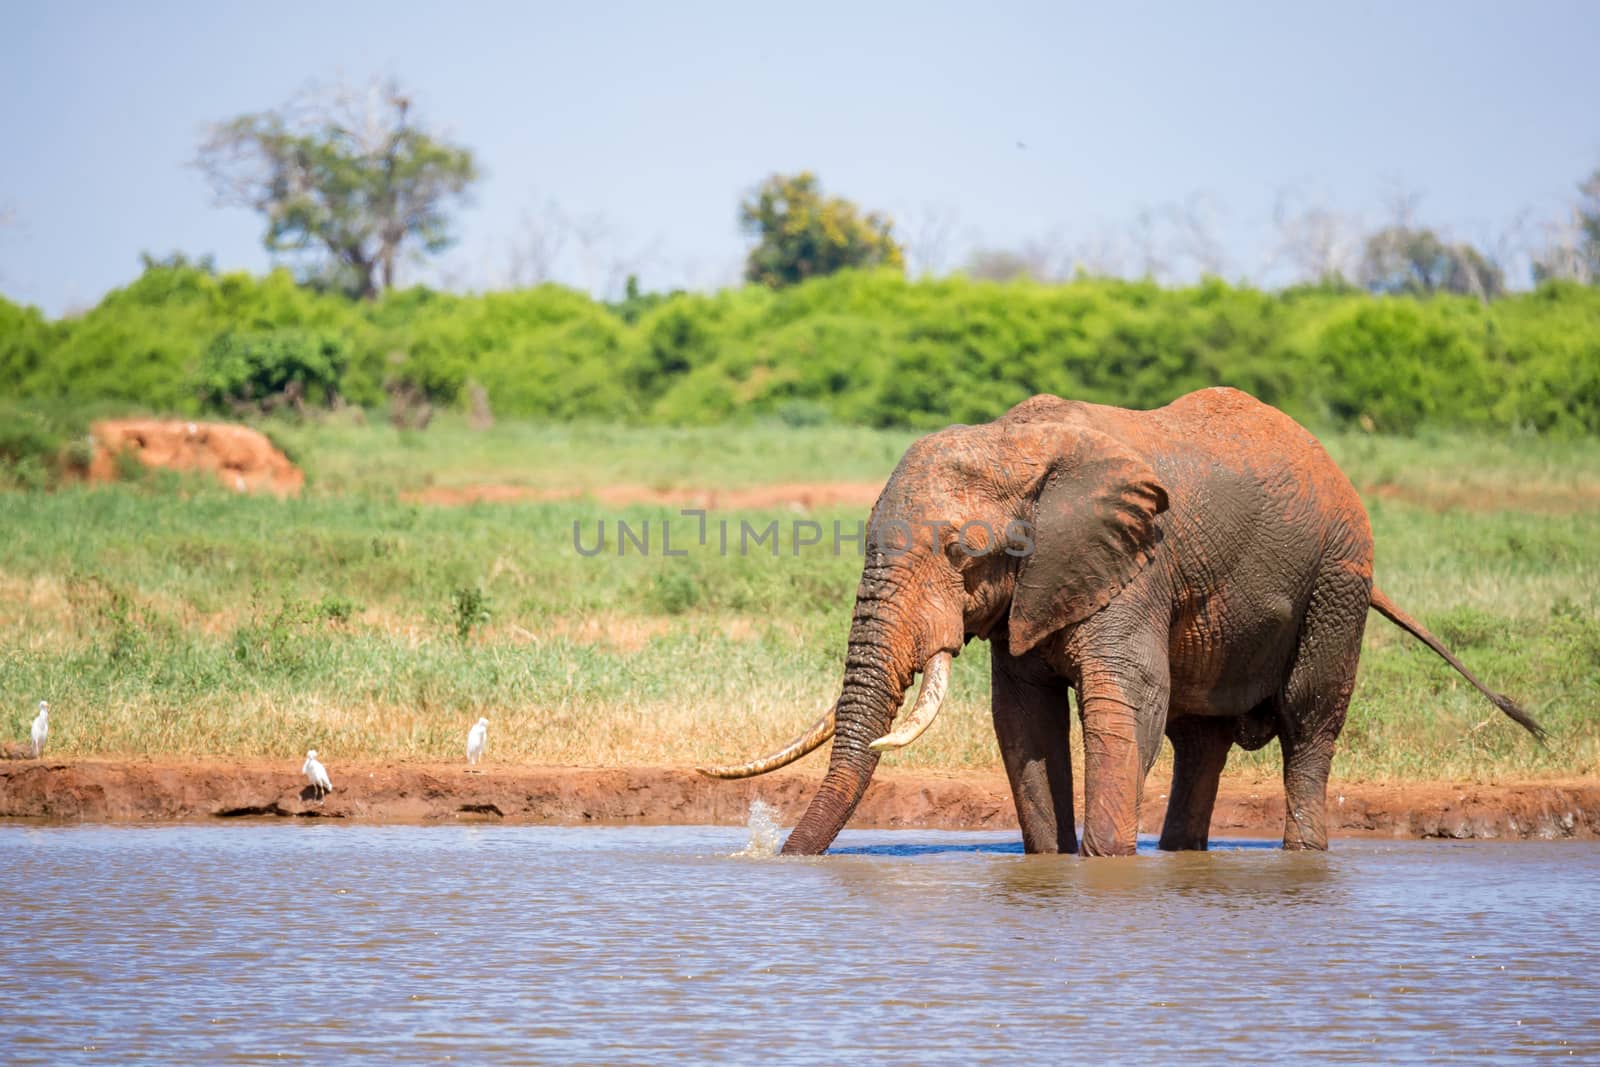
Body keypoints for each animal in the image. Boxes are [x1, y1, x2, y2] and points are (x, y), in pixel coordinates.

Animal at [697, 388, 1536, 857]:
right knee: (1202, 739)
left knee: (1308, 725)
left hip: (1337, 577)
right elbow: (1023, 720)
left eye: (960, 551)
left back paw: (1301, 853)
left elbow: (1124, 700)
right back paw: (1181, 853)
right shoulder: (1034, 588)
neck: (1016, 443)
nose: (769, 851)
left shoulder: (1136, 563)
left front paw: (1104, 864)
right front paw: (1051, 863)